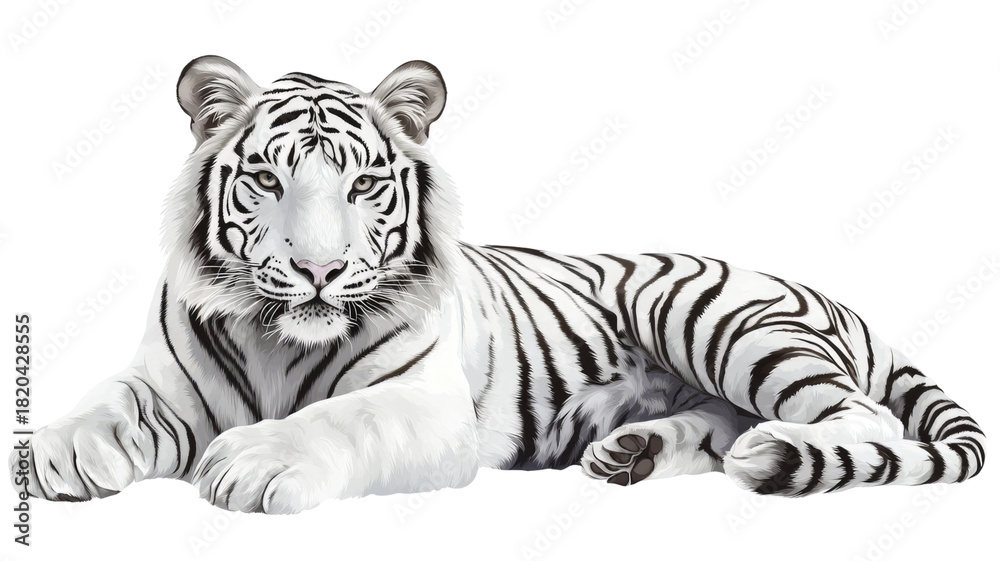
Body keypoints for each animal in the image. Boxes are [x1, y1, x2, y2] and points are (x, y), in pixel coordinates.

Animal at [9, 56, 985, 514]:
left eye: (363, 185)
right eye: (267, 179)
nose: (321, 271)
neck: (278, 338)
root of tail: (839, 298)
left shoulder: (424, 404)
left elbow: (336, 417)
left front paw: (253, 462)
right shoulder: (167, 385)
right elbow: (108, 400)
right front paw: (54, 450)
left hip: (714, 316)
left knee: (863, 418)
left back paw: (772, 451)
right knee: (729, 426)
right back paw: (637, 452)